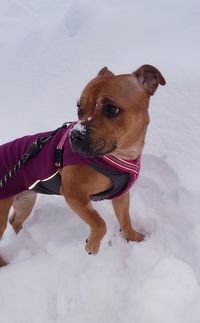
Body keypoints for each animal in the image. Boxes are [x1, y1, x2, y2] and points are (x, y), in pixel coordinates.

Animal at [0, 65, 166, 266]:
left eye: (111, 109)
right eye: (79, 107)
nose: (75, 135)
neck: (120, 156)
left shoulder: (121, 196)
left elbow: (125, 219)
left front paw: (134, 238)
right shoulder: (74, 195)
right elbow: (99, 223)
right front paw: (93, 245)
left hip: (25, 200)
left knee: (15, 221)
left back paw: (25, 239)